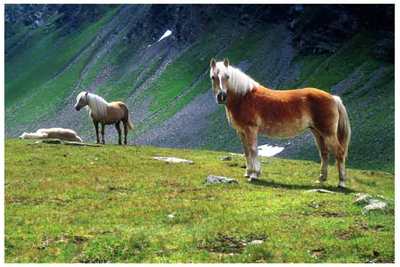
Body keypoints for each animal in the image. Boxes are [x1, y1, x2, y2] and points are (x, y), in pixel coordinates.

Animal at [209, 58, 350, 188]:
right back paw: (321, 179)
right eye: (213, 77)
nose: (221, 96)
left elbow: (253, 150)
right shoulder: (241, 131)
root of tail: (333, 97)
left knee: (339, 152)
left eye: (227, 76)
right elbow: (247, 151)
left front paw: (254, 174)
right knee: (324, 153)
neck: (243, 97)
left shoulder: (250, 128)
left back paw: (341, 182)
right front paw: (248, 172)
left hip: (328, 133)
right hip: (316, 131)